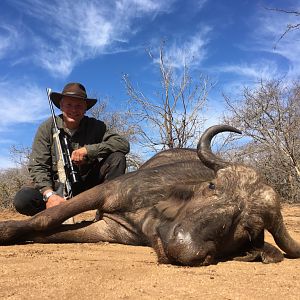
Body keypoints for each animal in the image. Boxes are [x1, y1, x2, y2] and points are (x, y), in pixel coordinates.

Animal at [0, 125, 300, 266]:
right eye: (213, 186)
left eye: (248, 227)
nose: (182, 247)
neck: (151, 217)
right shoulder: (106, 192)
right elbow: (44, 219)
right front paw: (5, 230)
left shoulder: (105, 231)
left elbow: (47, 232)